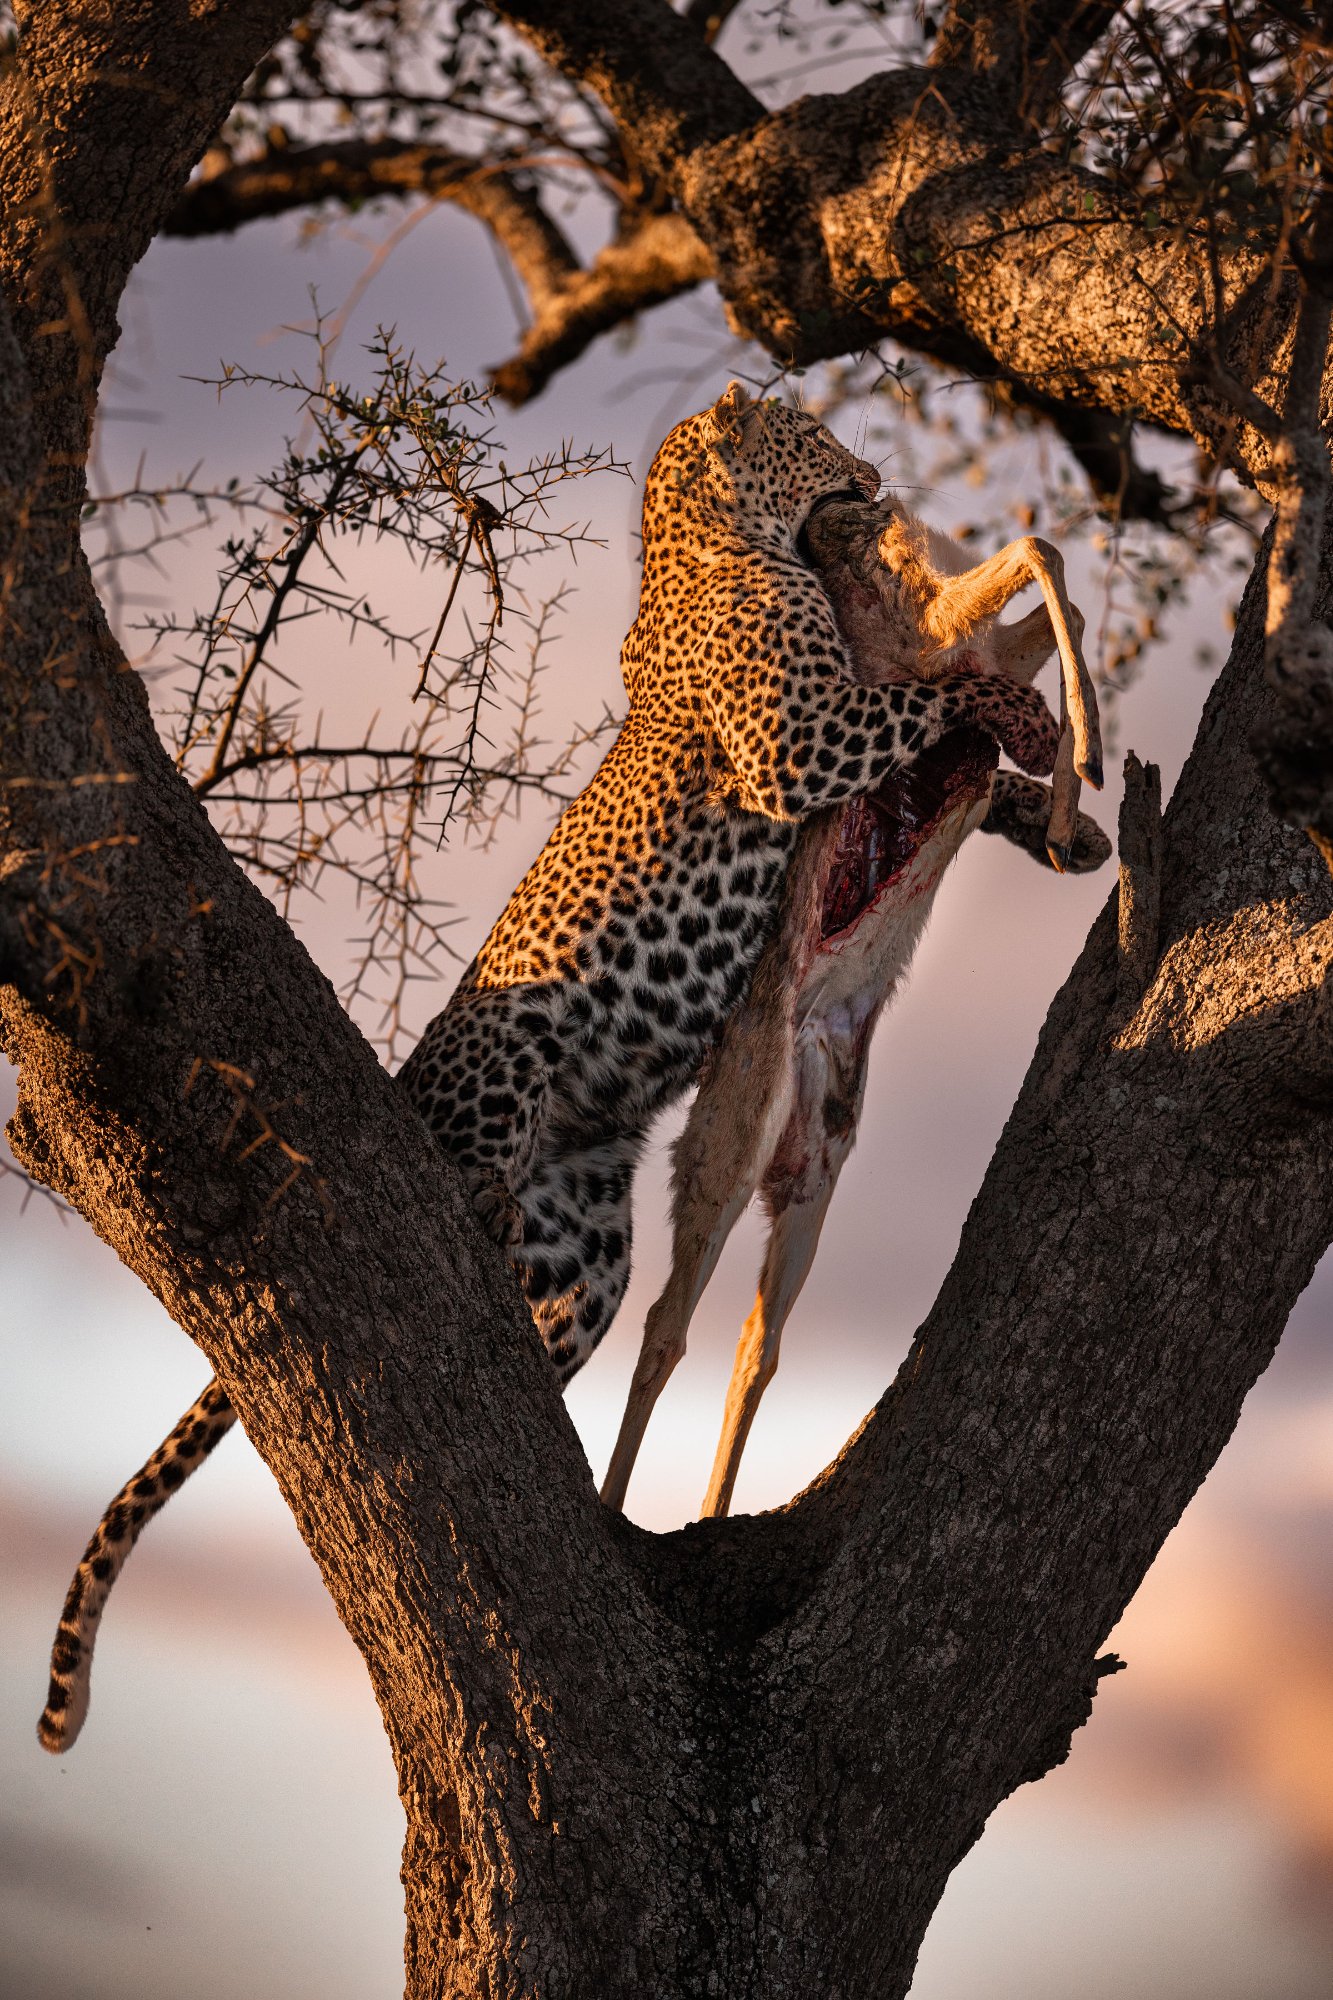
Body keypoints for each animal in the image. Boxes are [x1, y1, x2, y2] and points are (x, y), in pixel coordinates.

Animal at [37, 381, 1059, 1752]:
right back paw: (465, 1207)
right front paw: (1008, 713)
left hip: (591, 1237)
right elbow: (918, 704)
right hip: (512, 1048)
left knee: (558, 1308)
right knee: (470, 1172)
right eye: (814, 436)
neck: (715, 539)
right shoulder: (800, 737)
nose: (875, 477)